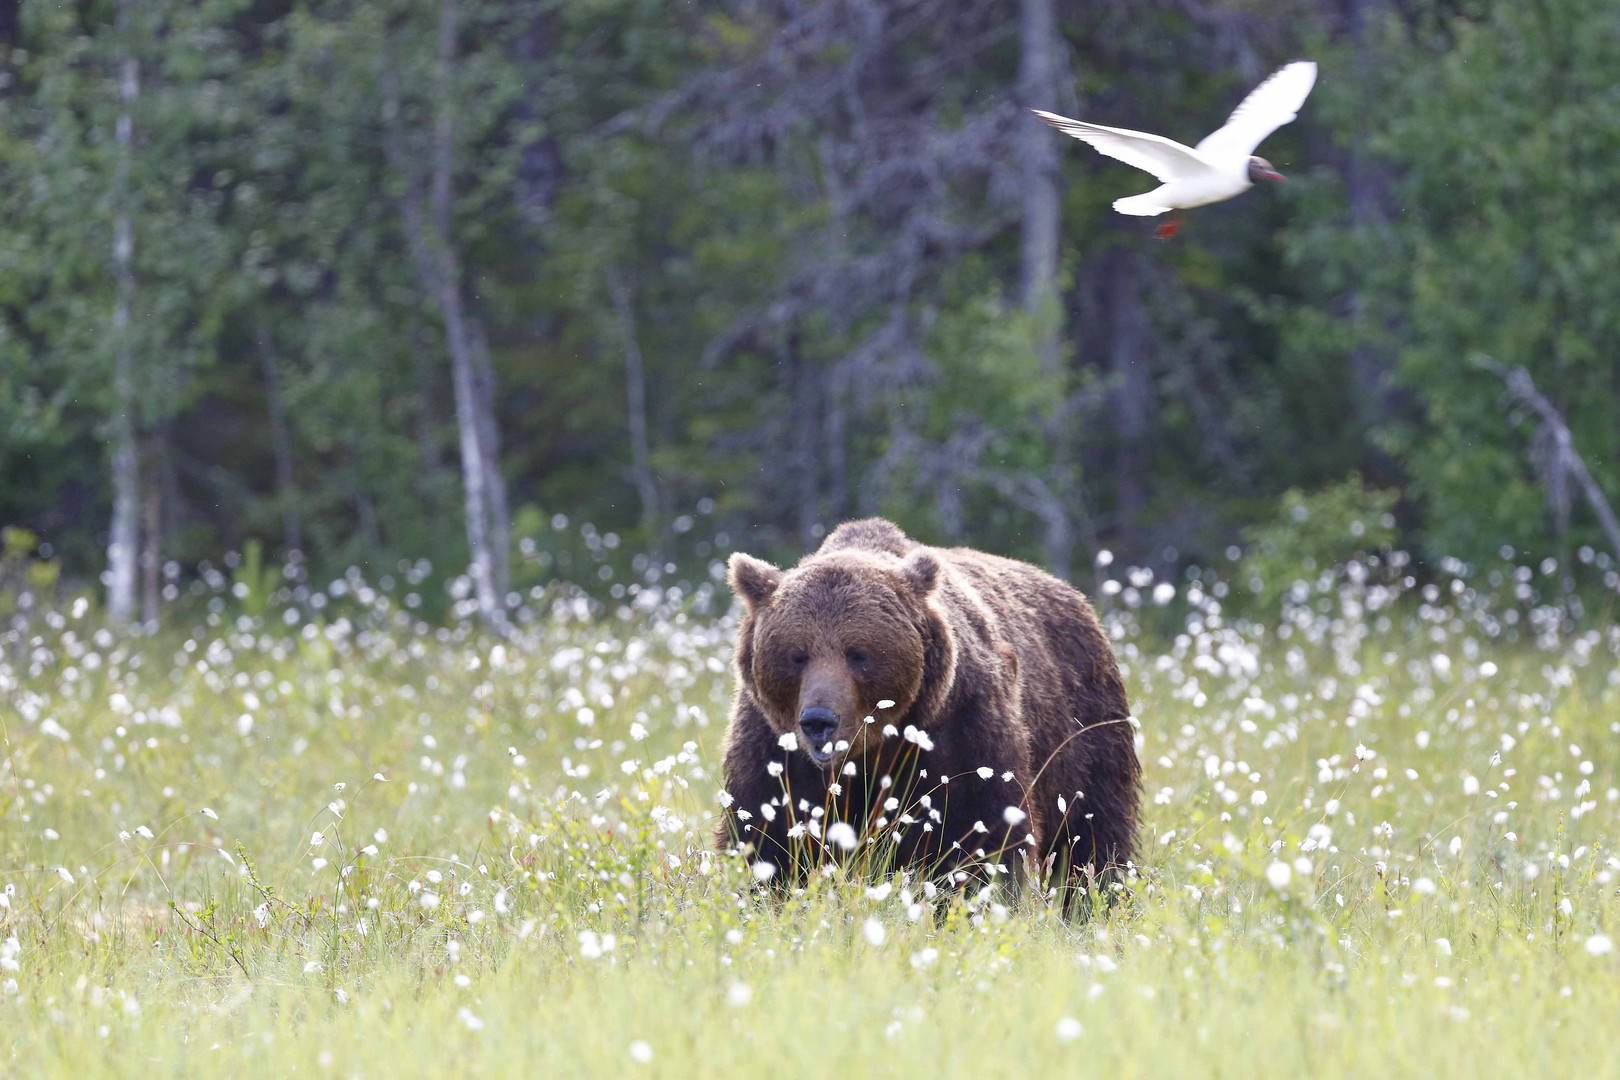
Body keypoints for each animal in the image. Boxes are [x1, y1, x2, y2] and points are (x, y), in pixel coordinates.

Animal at [709, 518, 1140, 893]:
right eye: (797, 654)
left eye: (858, 653)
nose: (819, 721)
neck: (875, 747)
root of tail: (1076, 598)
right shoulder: (774, 745)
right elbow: (768, 833)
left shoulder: (960, 728)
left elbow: (982, 830)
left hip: (1082, 734)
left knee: (1091, 834)